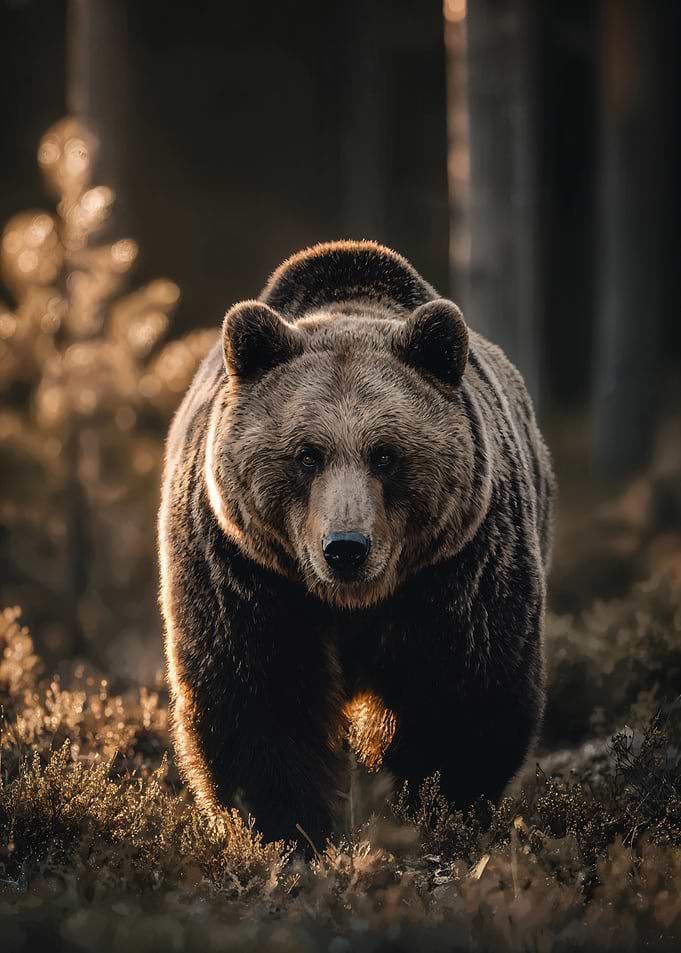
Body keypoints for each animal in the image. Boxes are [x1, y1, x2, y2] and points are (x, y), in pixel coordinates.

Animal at [158, 240, 555, 847]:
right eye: (307, 455)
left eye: (385, 454)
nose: (346, 547)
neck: (352, 604)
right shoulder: (243, 569)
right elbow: (259, 695)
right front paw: (288, 829)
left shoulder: (461, 567)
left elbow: (463, 690)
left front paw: (433, 809)